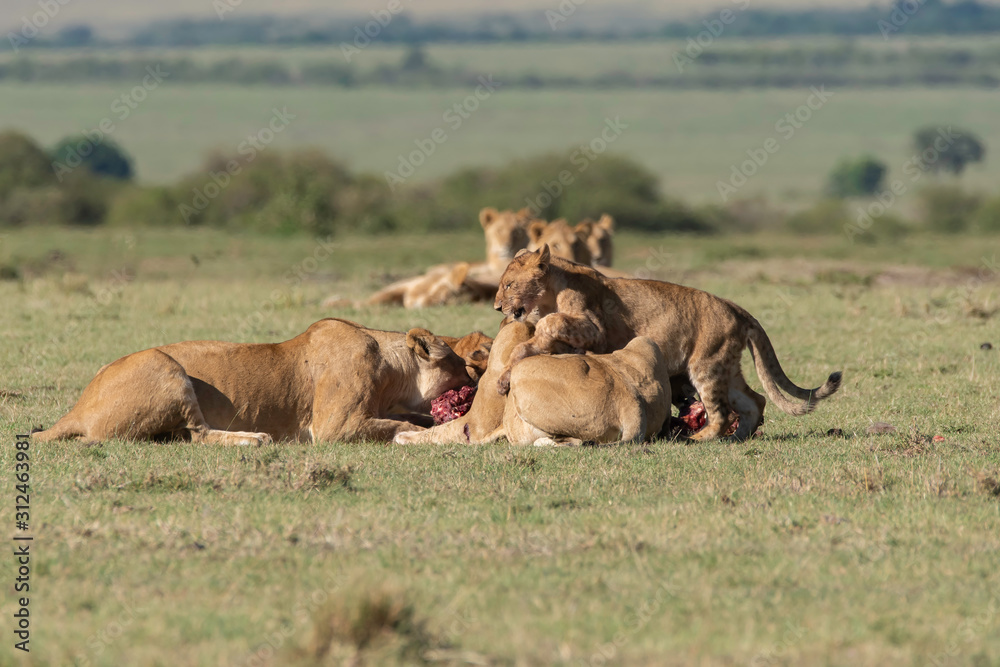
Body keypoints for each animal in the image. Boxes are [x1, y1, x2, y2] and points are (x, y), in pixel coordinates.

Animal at [32, 319, 471, 445]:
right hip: (164, 366)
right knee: (200, 435)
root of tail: (76, 410)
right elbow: (397, 425)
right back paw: (252, 438)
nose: (478, 378)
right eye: (464, 365)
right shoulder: (334, 426)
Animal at [393, 323, 671, 447]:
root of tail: (631, 403)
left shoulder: (474, 425)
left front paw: (403, 436)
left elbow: (435, 433)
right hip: (644, 342)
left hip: (522, 373)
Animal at [492, 246, 842, 441]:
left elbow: (551, 323)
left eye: (509, 285)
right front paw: (505, 378)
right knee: (754, 401)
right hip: (726, 369)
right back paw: (738, 438)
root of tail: (736, 308)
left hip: (706, 366)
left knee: (721, 414)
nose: (497, 307)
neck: (551, 292)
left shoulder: (595, 329)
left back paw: (699, 438)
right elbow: (531, 345)